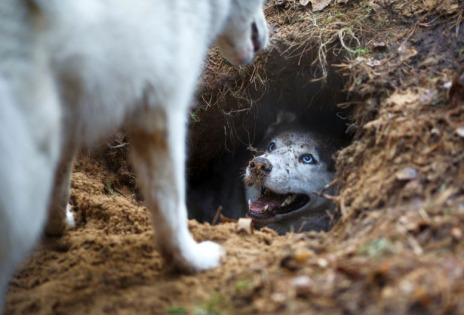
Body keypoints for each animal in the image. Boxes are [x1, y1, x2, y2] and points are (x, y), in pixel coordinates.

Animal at [0, 0, 268, 312]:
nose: (265, 40)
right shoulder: (161, 111)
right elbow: (171, 207)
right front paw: (190, 260)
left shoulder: (70, 120)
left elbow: (61, 182)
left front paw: (58, 226)